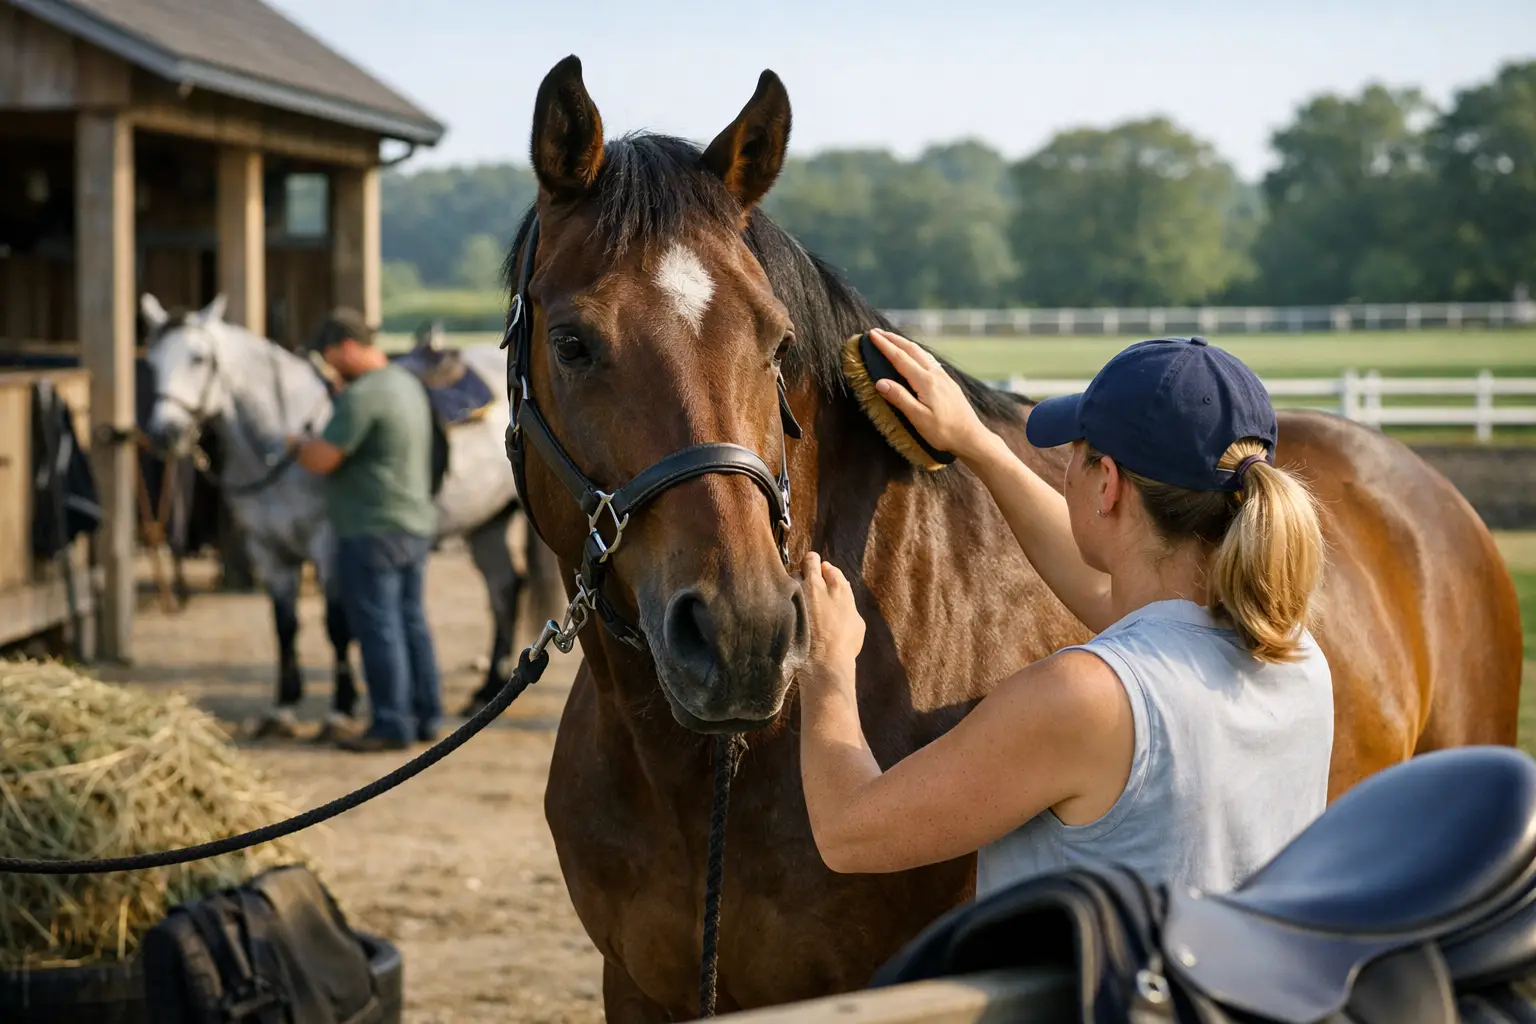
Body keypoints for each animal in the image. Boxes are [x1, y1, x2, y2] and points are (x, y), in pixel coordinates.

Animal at [140, 293, 565, 737]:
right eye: (151, 362)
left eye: (199, 358)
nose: (165, 433)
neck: (280, 435)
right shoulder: (270, 551)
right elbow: (284, 626)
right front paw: (282, 708)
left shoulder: (328, 546)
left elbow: (336, 625)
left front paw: (339, 709)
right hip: (486, 524)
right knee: (504, 589)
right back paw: (486, 691)